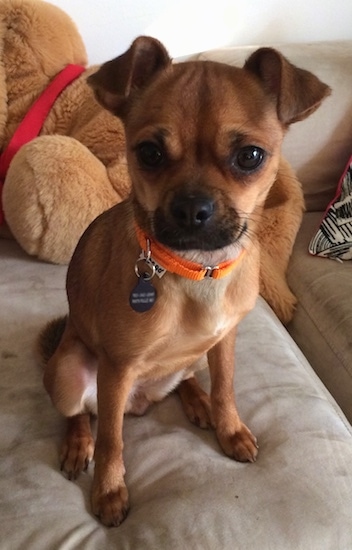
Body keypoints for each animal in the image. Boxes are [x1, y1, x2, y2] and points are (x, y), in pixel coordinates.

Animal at [39, 36, 330, 528]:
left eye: (250, 156)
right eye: (149, 153)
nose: (193, 209)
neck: (197, 270)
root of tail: (142, 400)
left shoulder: (226, 341)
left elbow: (226, 387)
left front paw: (229, 427)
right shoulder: (116, 370)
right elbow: (112, 439)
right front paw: (109, 489)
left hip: (191, 358)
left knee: (190, 377)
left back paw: (198, 402)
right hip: (67, 371)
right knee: (81, 414)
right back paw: (78, 443)